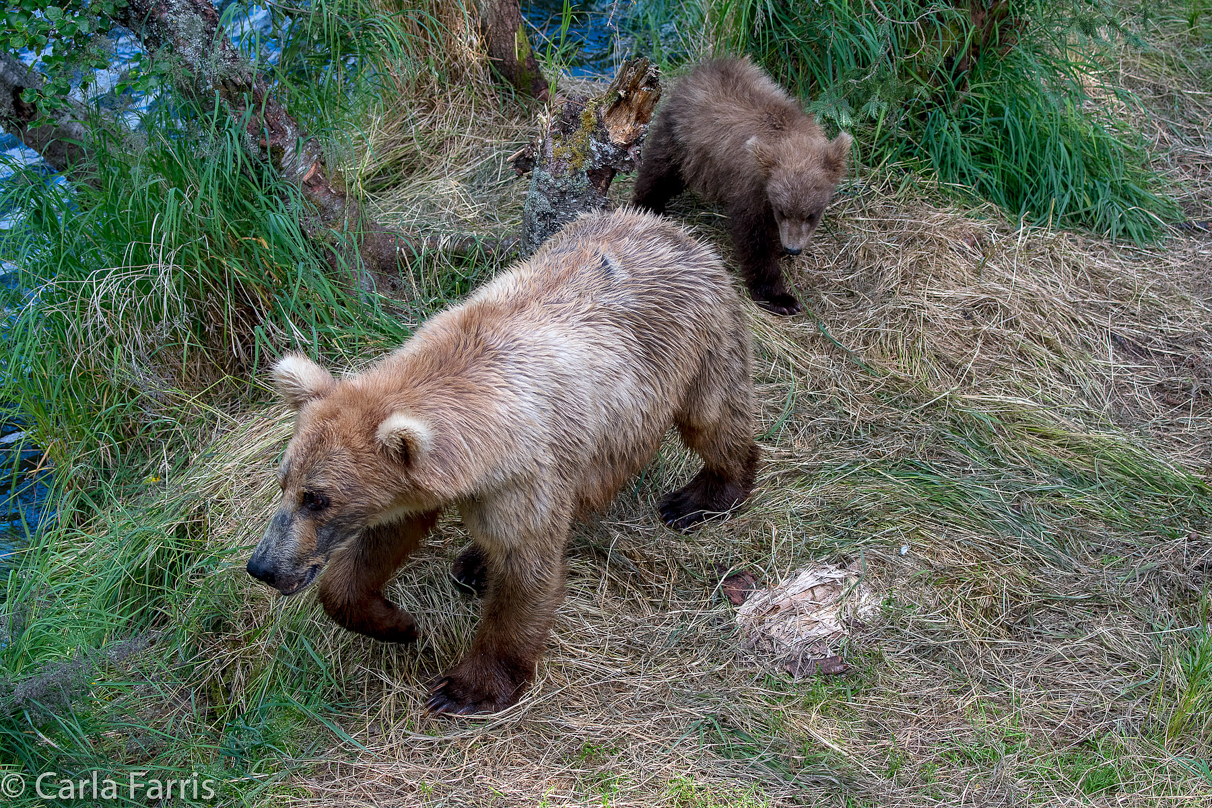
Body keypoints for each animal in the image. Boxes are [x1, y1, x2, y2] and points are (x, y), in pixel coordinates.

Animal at [246, 208, 756, 712]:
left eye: (318, 498)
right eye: (284, 483)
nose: (262, 567)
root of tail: (671, 228)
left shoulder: (527, 472)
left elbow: (523, 567)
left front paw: (464, 689)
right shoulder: (424, 485)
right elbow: (377, 546)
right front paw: (397, 623)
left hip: (696, 342)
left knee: (713, 419)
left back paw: (701, 498)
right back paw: (473, 563)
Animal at [635, 56, 853, 314]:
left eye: (811, 214)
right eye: (782, 211)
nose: (792, 248)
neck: (789, 138)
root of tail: (703, 67)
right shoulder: (751, 187)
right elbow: (755, 239)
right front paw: (780, 298)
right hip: (685, 141)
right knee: (661, 170)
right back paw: (648, 205)